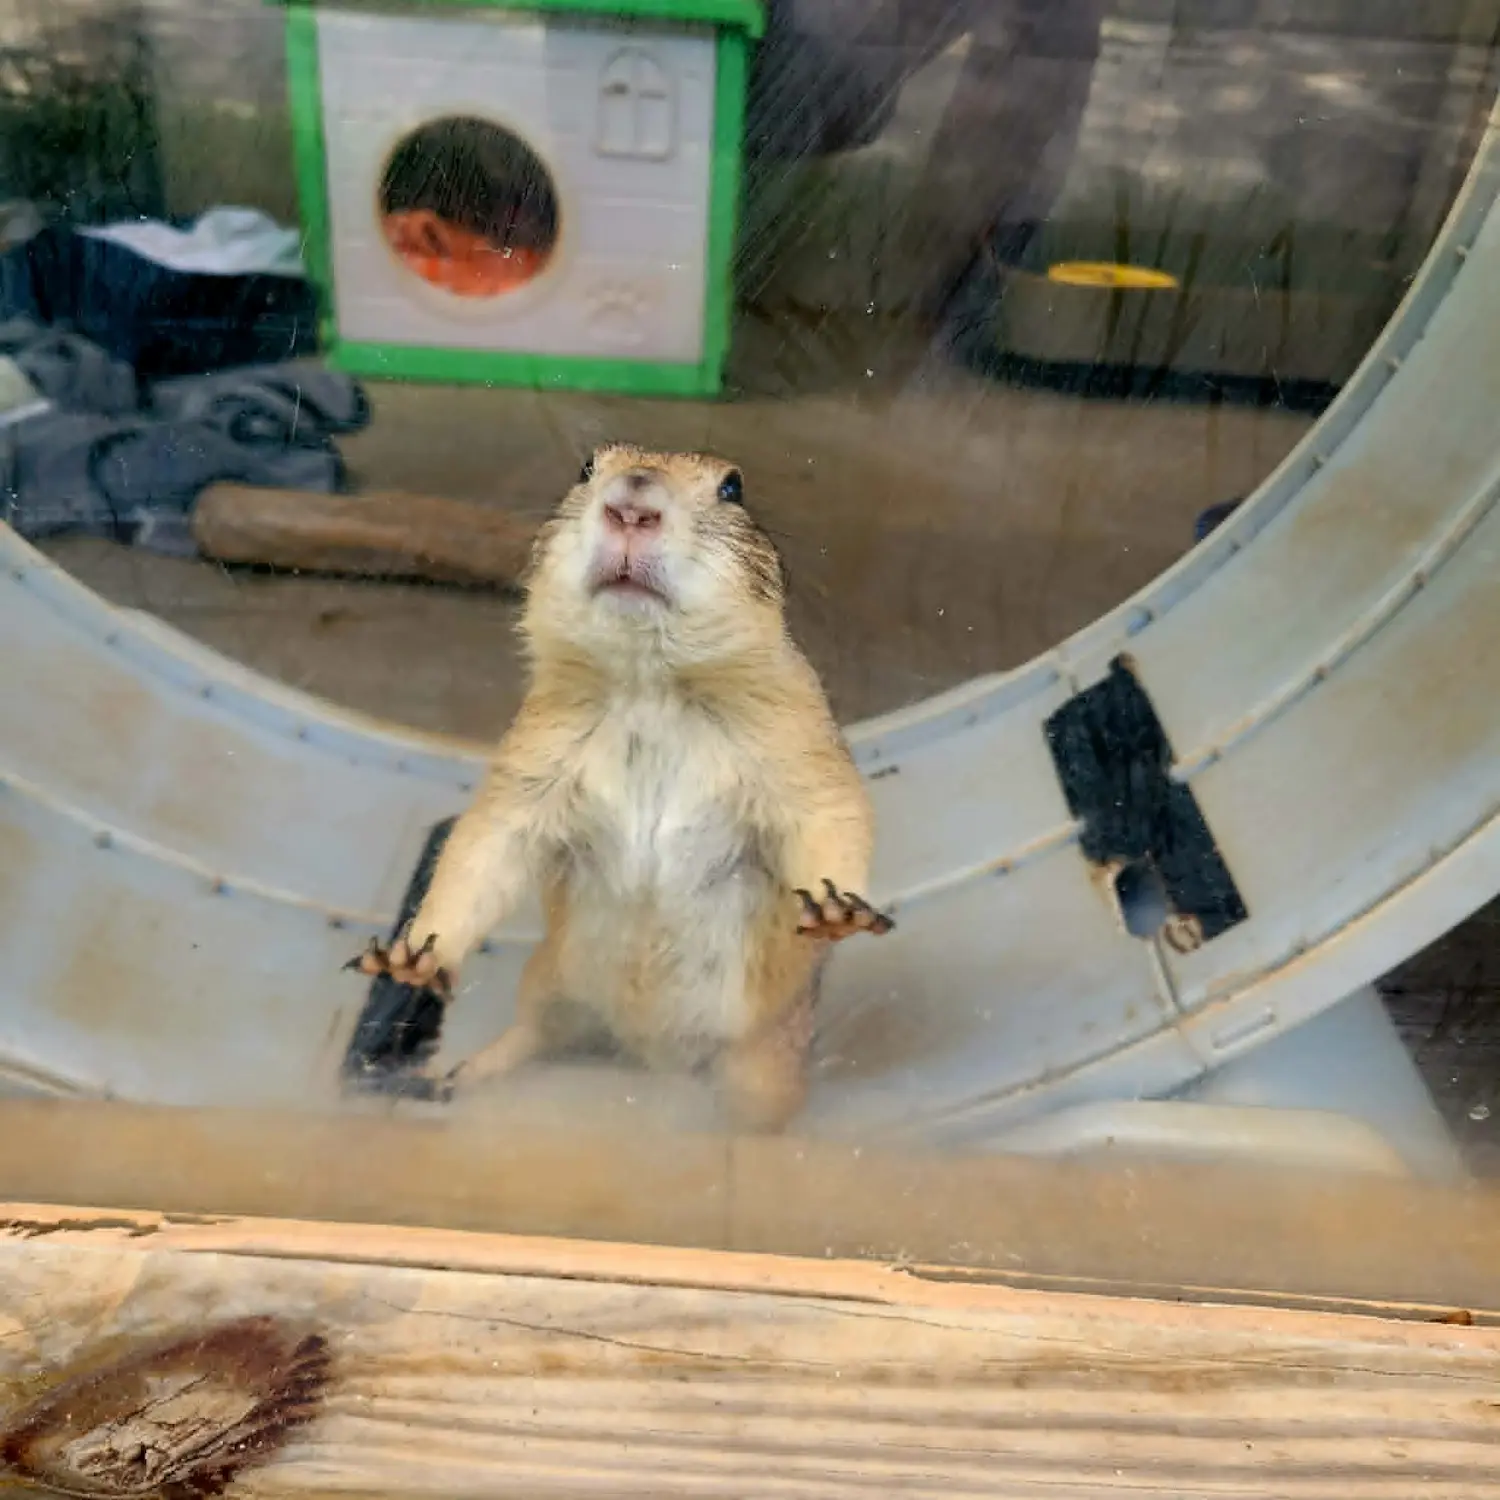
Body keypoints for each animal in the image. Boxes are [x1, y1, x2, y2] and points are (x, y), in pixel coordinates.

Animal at [349, 445, 892, 1130]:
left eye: (734, 488)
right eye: (586, 467)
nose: (631, 506)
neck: (648, 682)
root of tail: (648, 1057)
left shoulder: (795, 732)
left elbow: (829, 807)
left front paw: (837, 909)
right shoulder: (534, 753)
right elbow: (484, 847)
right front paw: (412, 957)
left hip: (762, 1063)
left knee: (753, 1112)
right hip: (549, 986)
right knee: (535, 1036)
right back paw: (459, 1074)